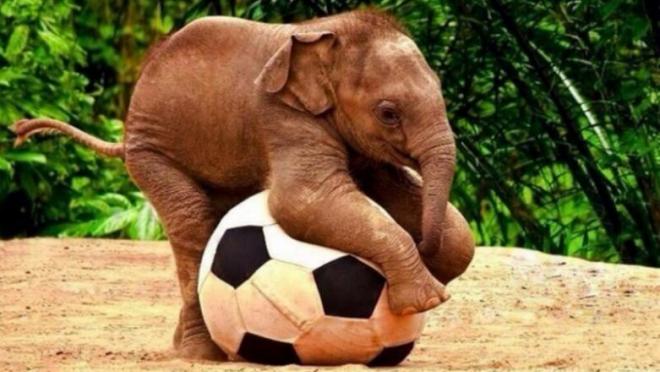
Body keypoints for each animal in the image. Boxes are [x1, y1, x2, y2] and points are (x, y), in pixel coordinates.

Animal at [11, 10, 474, 360]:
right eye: (388, 113)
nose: (424, 247)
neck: (332, 32)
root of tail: (125, 136)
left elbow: (416, 206)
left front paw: (434, 271)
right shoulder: (281, 115)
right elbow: (301, 201)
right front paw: (428, 298)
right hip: (153, 152)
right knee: (193, 223)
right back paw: (203, 355)